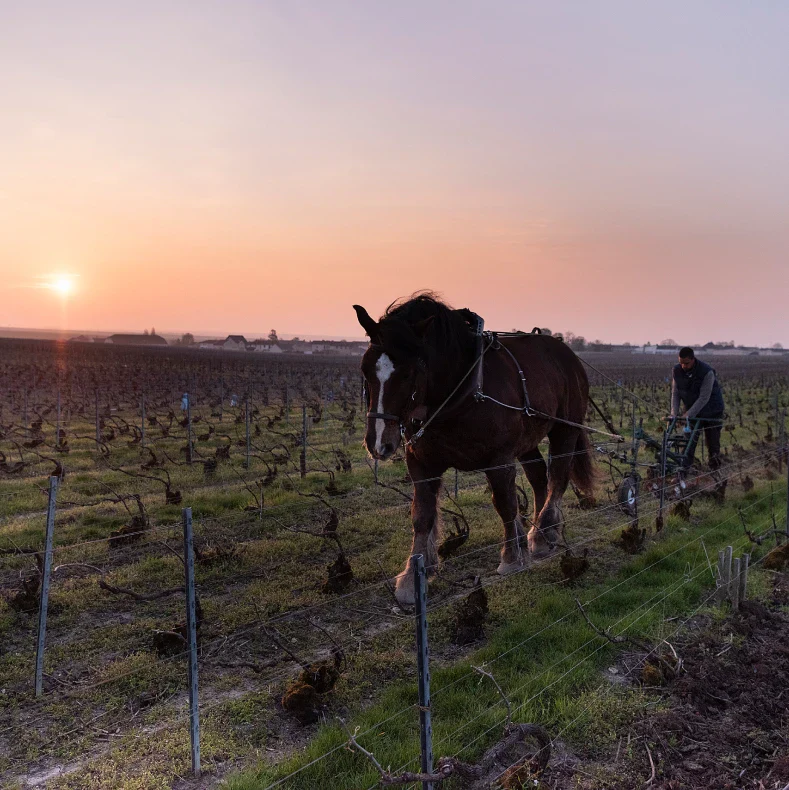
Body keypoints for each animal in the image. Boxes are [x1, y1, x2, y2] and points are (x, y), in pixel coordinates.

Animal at [354, 296, 596, 608]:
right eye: (365, 369)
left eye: (408, 372)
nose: (379, 443)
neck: (459, 392)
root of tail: (566, 353)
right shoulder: (421, 464)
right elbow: (422, 515)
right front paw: (412, 578)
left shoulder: (499, 459)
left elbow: (505, 504)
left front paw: (511, 558)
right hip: (529, 440)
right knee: (539, 477)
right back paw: (539, 533)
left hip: (565, 429)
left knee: (558, 476)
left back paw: (546, 531)